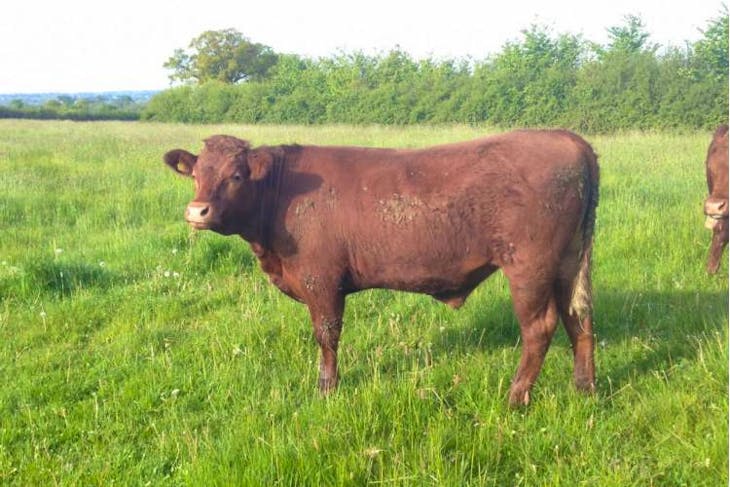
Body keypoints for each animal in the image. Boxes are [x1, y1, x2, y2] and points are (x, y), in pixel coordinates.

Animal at [164, 131, 596, 408]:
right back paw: (584, 388)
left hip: (529, 268)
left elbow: (326, 336)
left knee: (539, 328)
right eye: (197, 175)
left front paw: (326, 389)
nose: (196, 212)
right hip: (569, 263)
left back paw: (516, 398)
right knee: (579, 319)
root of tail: (567, 138)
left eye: (236, 176)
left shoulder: (321, 281)